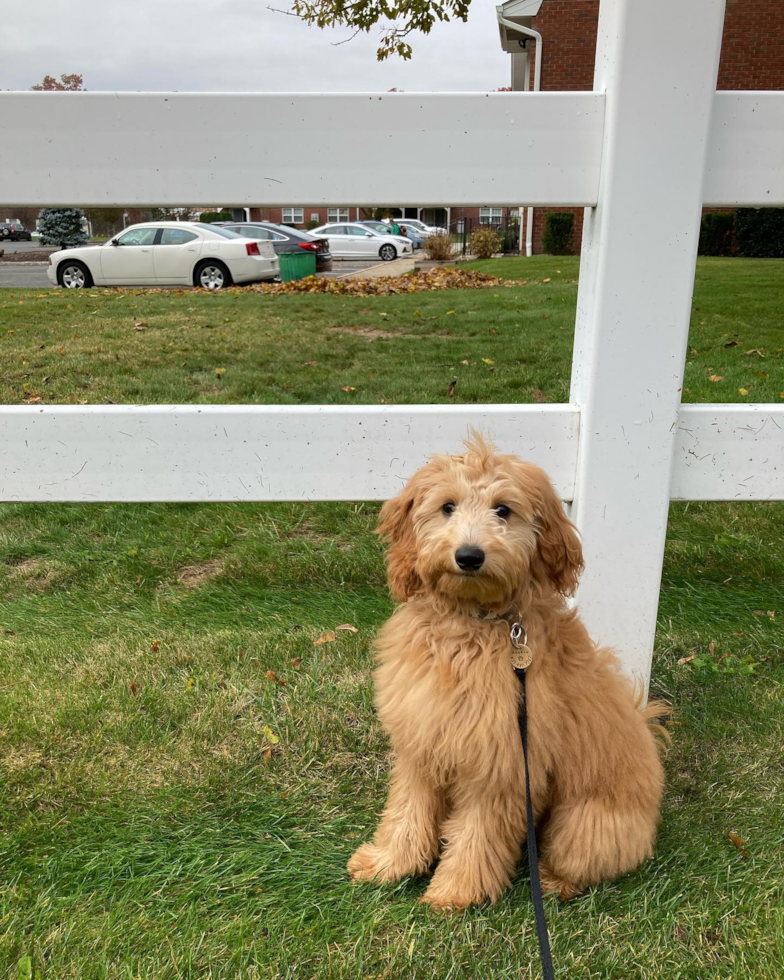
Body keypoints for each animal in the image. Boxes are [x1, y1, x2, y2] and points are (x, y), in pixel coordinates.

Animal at [350, 436, 668, 912]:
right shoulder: (422, 740)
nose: (469, 555)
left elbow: (477, 832)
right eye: (447, 506)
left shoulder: (502, 761)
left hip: (584, 824)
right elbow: (408, 808)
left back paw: (553, 882)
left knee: (582, 861)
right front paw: (389, 864)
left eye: (503, 509)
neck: (471, 625)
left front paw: (456, 891)